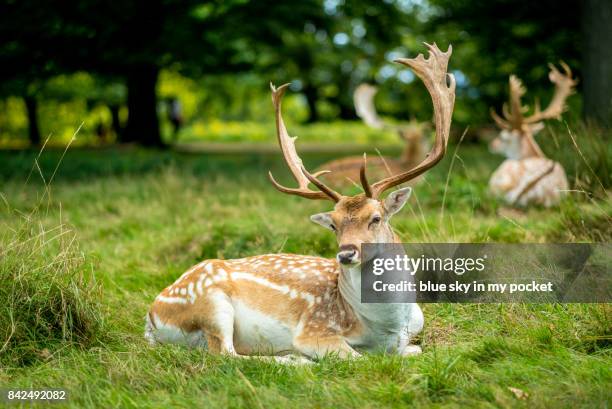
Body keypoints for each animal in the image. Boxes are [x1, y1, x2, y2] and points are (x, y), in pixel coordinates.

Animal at [145, 43, 454, 364]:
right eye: (333, 224)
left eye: (376, 217)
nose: (346, 254)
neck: (390, 327)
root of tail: (151, 318)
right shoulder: (315, 330)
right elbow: (358, 357)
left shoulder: (413, 332)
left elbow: (416, 349)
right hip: (211, 303)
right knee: (225, 353)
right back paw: (293, 359)